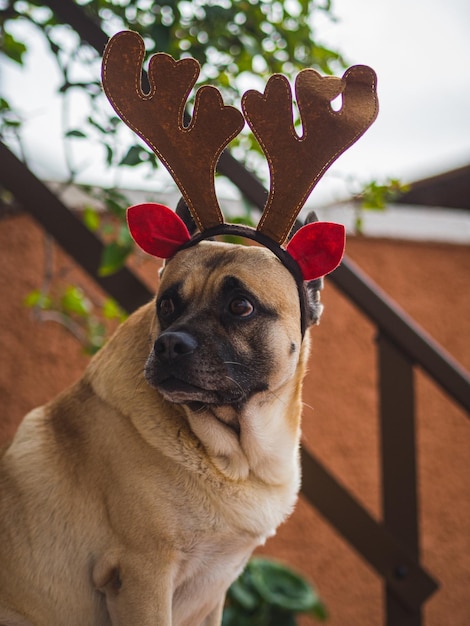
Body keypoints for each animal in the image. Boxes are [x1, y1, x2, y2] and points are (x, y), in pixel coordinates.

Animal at [0, 222, 324, 620]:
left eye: (241, 306)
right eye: (166, 305)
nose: (170, 344)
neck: (234, 459)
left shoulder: (212, 594)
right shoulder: (144, 576)